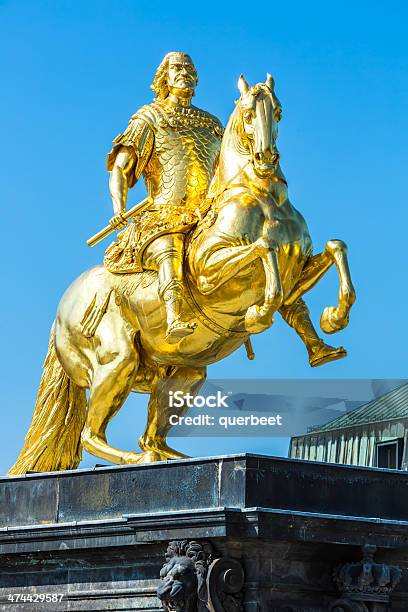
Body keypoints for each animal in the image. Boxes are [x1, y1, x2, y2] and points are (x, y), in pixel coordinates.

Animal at [8, 76, 354, 476]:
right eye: (249, 113)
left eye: (279, 111)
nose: (266, 160)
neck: (263, 198)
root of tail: (61, 310)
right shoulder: (208, 275)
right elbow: (264, 249)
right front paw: (259, 314)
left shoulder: (296, 269)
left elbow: (331, 253)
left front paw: (332, 322)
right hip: (117, 360)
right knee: (91, 435)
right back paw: (137, 459)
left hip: (185, 372)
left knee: (150, 432)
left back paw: (171, 455)